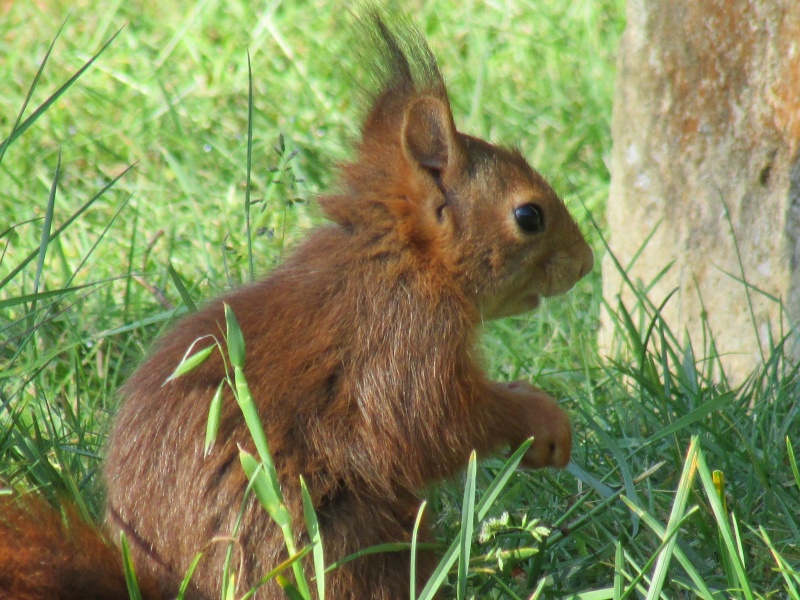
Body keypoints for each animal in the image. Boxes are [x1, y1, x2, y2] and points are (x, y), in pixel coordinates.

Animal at [1, 7, 592, 596]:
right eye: (529, 216)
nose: (586, 262)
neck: (403, 260)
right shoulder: (404, 341)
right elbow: (442, 421)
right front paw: (539, 417)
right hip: (337, 534)